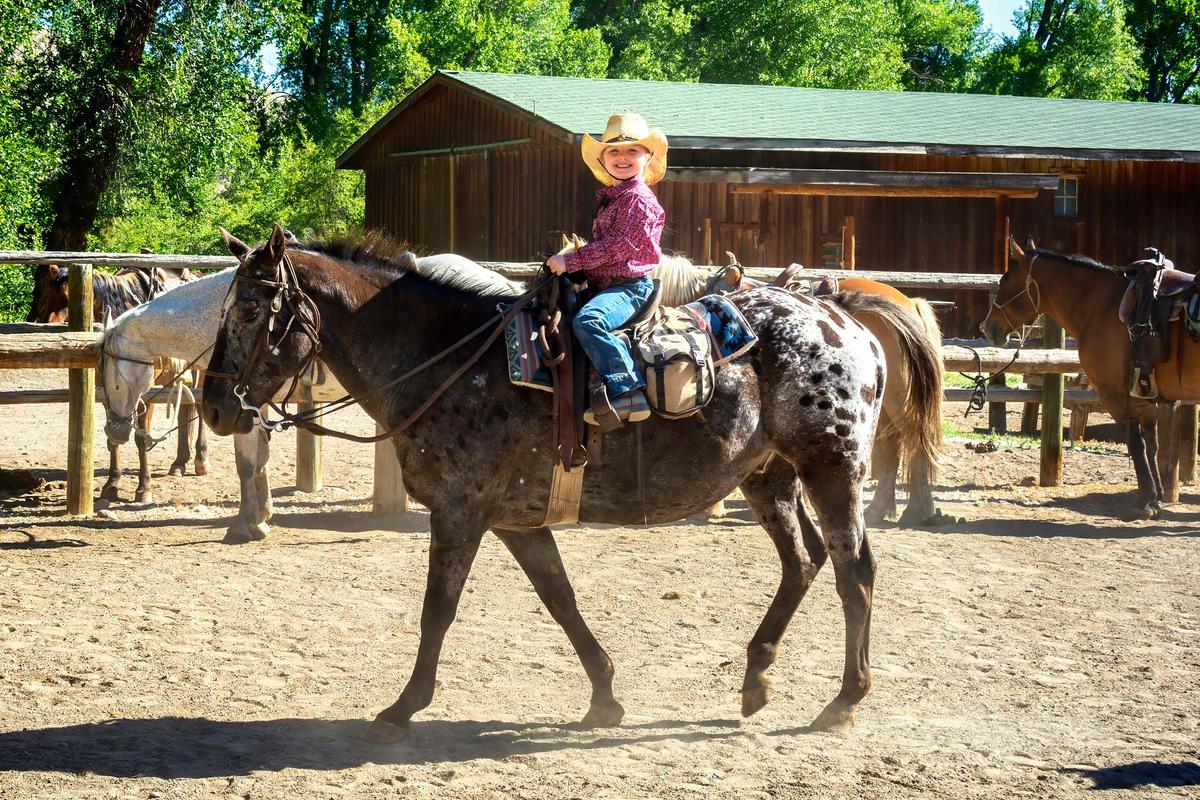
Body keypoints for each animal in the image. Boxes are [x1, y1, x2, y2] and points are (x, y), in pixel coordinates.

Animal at [979, 235, 1195, 520]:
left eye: (1005, 281)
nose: (987, 327)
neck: (1103, 307)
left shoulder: (1115, 394)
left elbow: (1135, 442)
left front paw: (1145, 501)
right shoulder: (1143, 396)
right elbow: (1151, 443)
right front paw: (1157, 496)